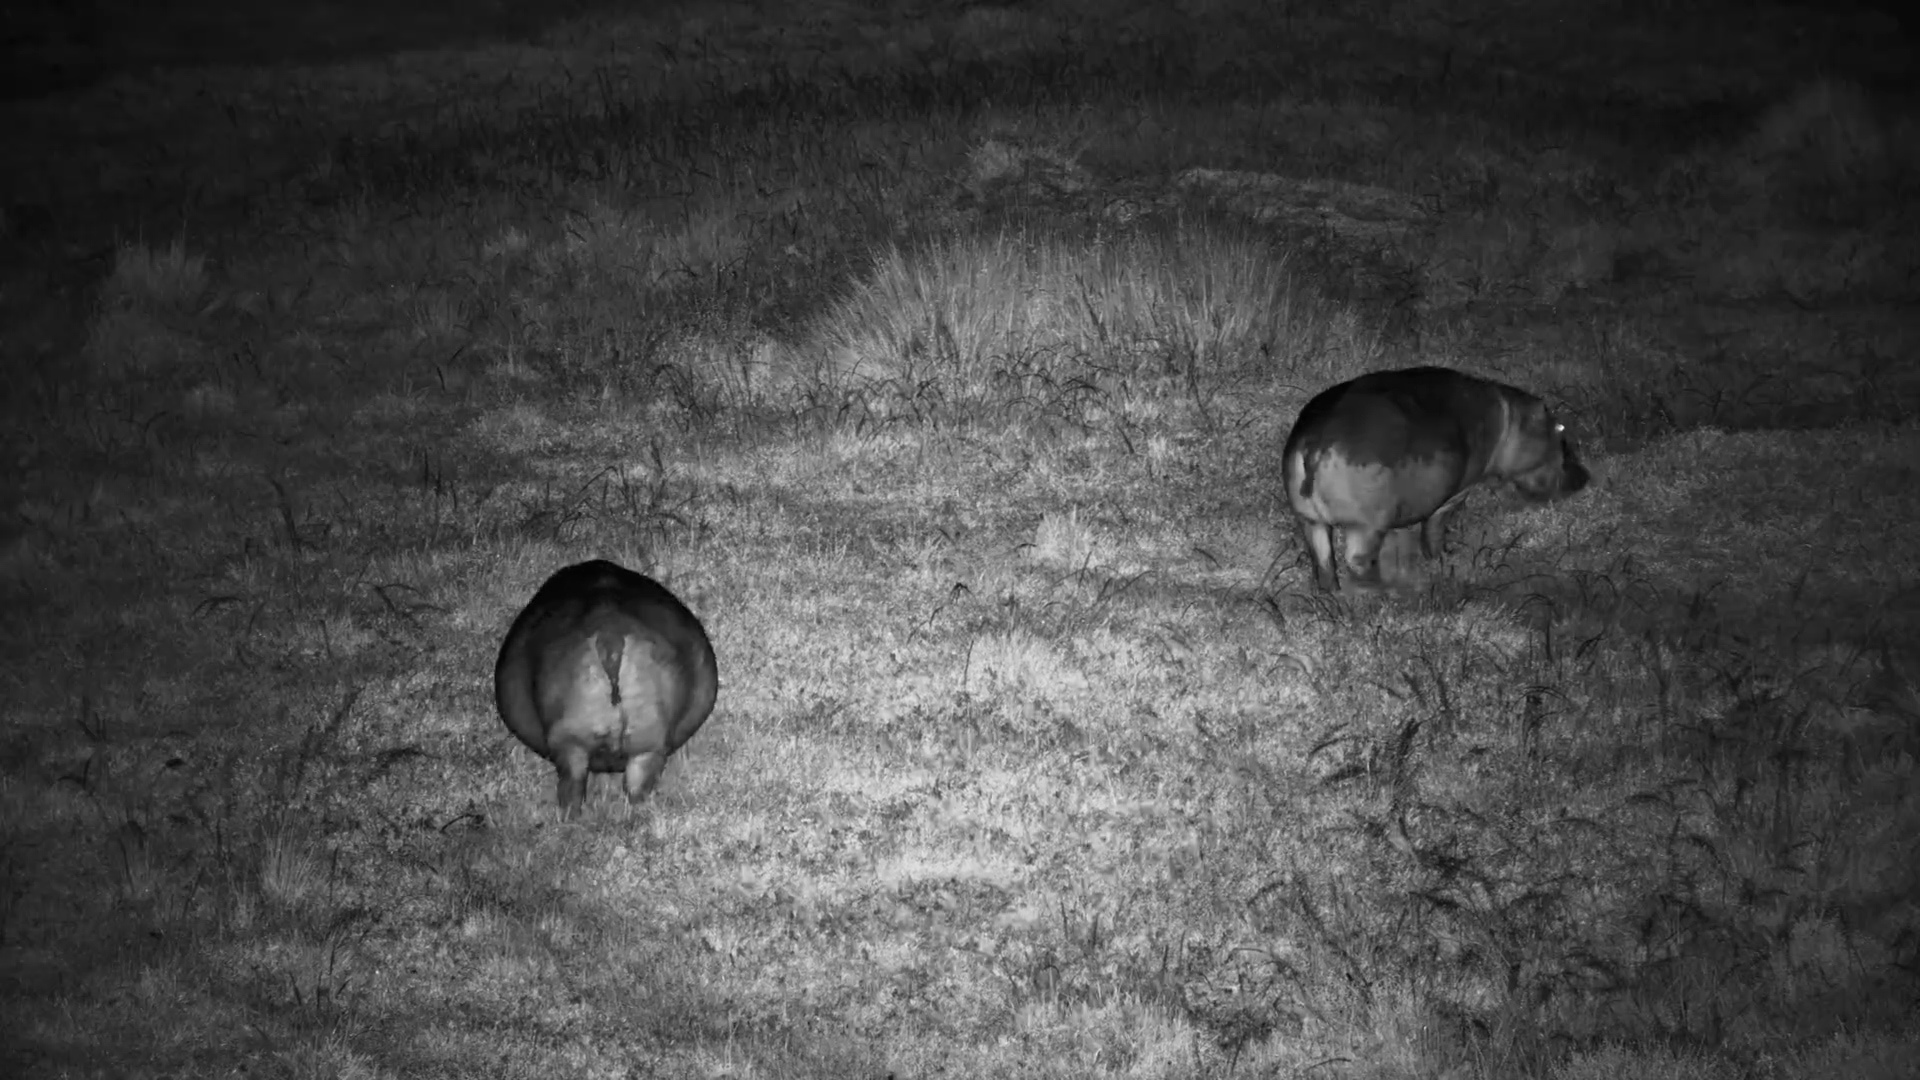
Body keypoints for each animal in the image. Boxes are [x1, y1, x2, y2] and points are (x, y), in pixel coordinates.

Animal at [1281, 366, 1589, 591]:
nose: (1586, 476)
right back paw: (1388, 589)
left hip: (1309, 520)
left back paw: (1332, 596)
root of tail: (1312, 443)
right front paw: (1445, 557)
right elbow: (1435, 526)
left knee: (1323, 560)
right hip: (1366, 525)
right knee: (1357, 561)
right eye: (1562, 431)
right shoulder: (1456, 493)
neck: (1511, 420)